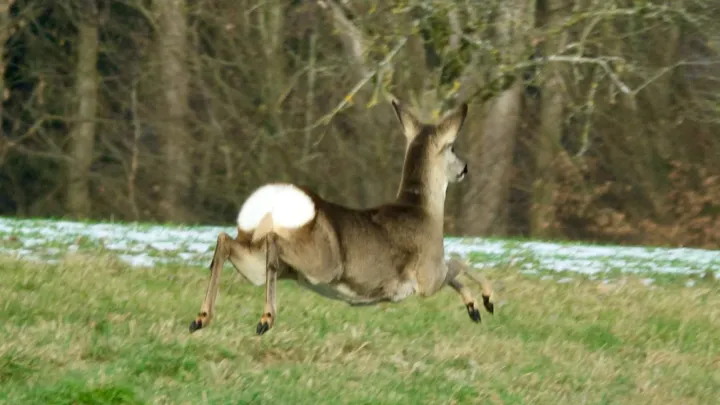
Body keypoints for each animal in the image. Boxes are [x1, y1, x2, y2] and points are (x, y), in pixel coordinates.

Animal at [188, 99, 494, 335]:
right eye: (452, 147)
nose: (465, 168)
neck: (424, 210)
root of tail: (272, 202)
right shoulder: (427, 276)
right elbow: (458, 262)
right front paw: (487, 300)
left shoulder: (430, 276)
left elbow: (456, 269)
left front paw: (474, 308)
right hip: (322, 261)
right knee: (273, 242)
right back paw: (265, 319)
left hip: (259, 259)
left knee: (226, 241)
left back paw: (201, 318)